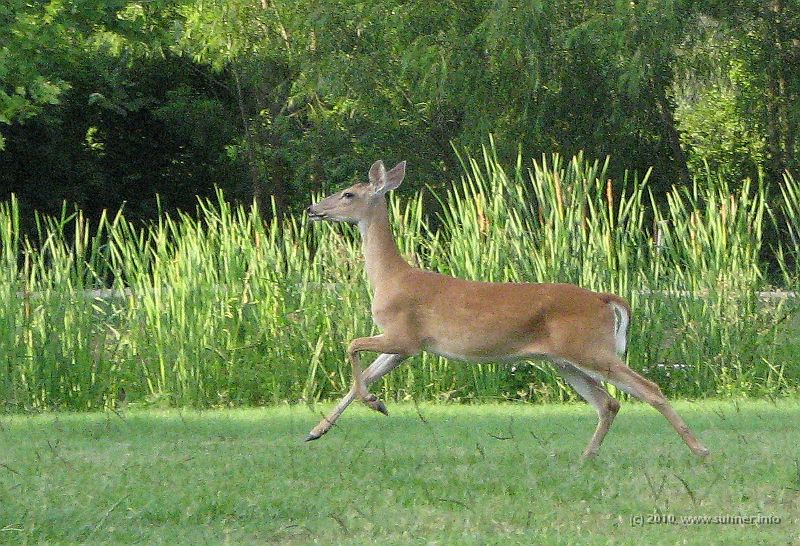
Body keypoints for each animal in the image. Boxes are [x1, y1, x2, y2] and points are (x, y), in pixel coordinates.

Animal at [305, 160, 710, 458]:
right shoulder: (406, 347)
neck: (390, 277)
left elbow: (351, 347)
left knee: (648, 388)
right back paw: (586, 456)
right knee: (608, 402)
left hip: (591, 349)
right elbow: (362, 377)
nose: (312, 209)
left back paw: (700, 450)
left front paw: (376, 404)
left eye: (348, 193)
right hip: (565, 359)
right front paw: (316, 430)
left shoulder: (405, 335)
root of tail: (604, 299)